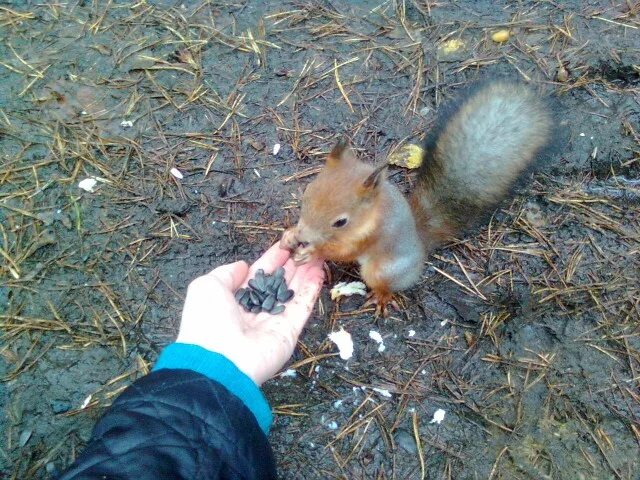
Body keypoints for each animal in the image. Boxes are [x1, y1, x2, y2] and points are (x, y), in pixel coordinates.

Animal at [282, 79, 560, 316]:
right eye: (306, 194)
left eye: (341, 222)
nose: (304, 235)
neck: (371, 215)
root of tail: (420, 244)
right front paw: (291, 235)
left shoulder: (371, 236)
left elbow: (343, 252)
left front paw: (313, 252)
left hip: (382, 270)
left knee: (384, 284)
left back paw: (381, 297)